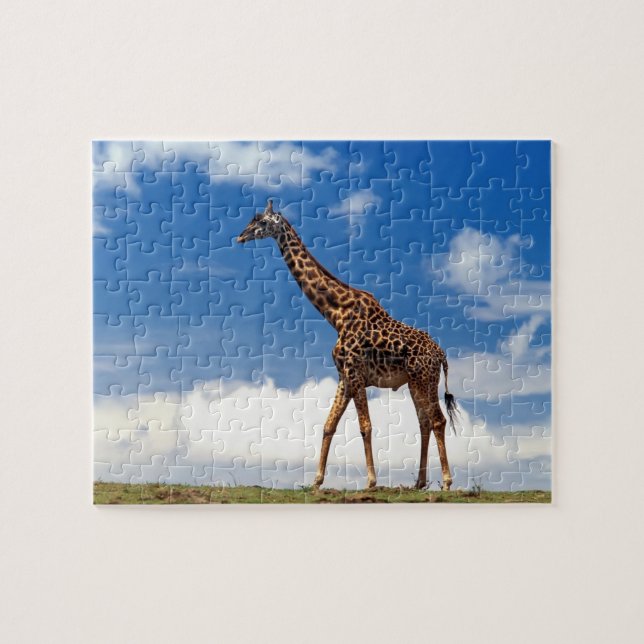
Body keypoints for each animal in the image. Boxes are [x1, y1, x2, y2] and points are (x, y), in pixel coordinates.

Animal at [237, 200, 458, 490]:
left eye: (261, 222)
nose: (240, 236)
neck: (336, 315)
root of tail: (441, 354)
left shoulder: (355, 372)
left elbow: (365, 426)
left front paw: (371, 482)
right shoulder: (344, 376)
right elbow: (328, 425)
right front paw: (317, 481)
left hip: (424, 379)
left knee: (438, 420)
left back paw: (446, 482)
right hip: (415, 382)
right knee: (424, 423)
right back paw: (419, 483)